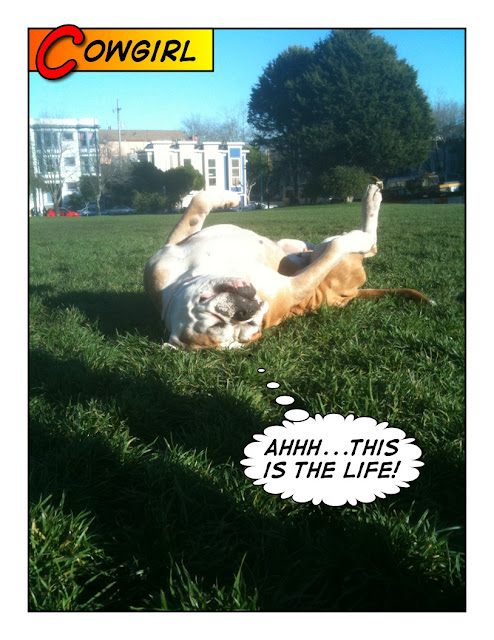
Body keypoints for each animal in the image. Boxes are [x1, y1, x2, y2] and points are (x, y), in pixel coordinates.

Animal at [144, 184, 430, 349]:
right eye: (250, 330)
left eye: (214, 323)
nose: (244, 313)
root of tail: (353, 294)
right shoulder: (294, 287)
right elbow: (337, 249)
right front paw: (352, 240)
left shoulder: (165, 257)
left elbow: (198, 203)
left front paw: (229, 197)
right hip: (330, 253)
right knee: (365, 245)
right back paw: (367, 216)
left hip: (294, 243)